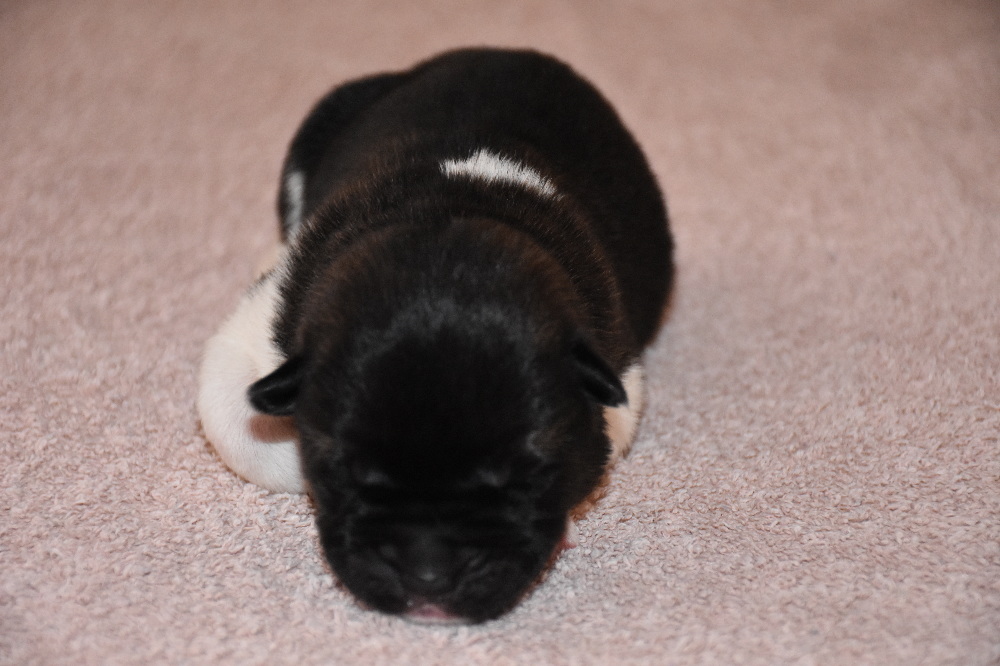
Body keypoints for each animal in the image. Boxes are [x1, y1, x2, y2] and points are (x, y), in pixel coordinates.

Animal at [197, 48, 672, 623]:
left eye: (521, 477)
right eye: (349, 471)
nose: (428, 577)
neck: (448, 208)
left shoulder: (618, 367)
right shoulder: (259, 326)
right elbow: (236, 426)